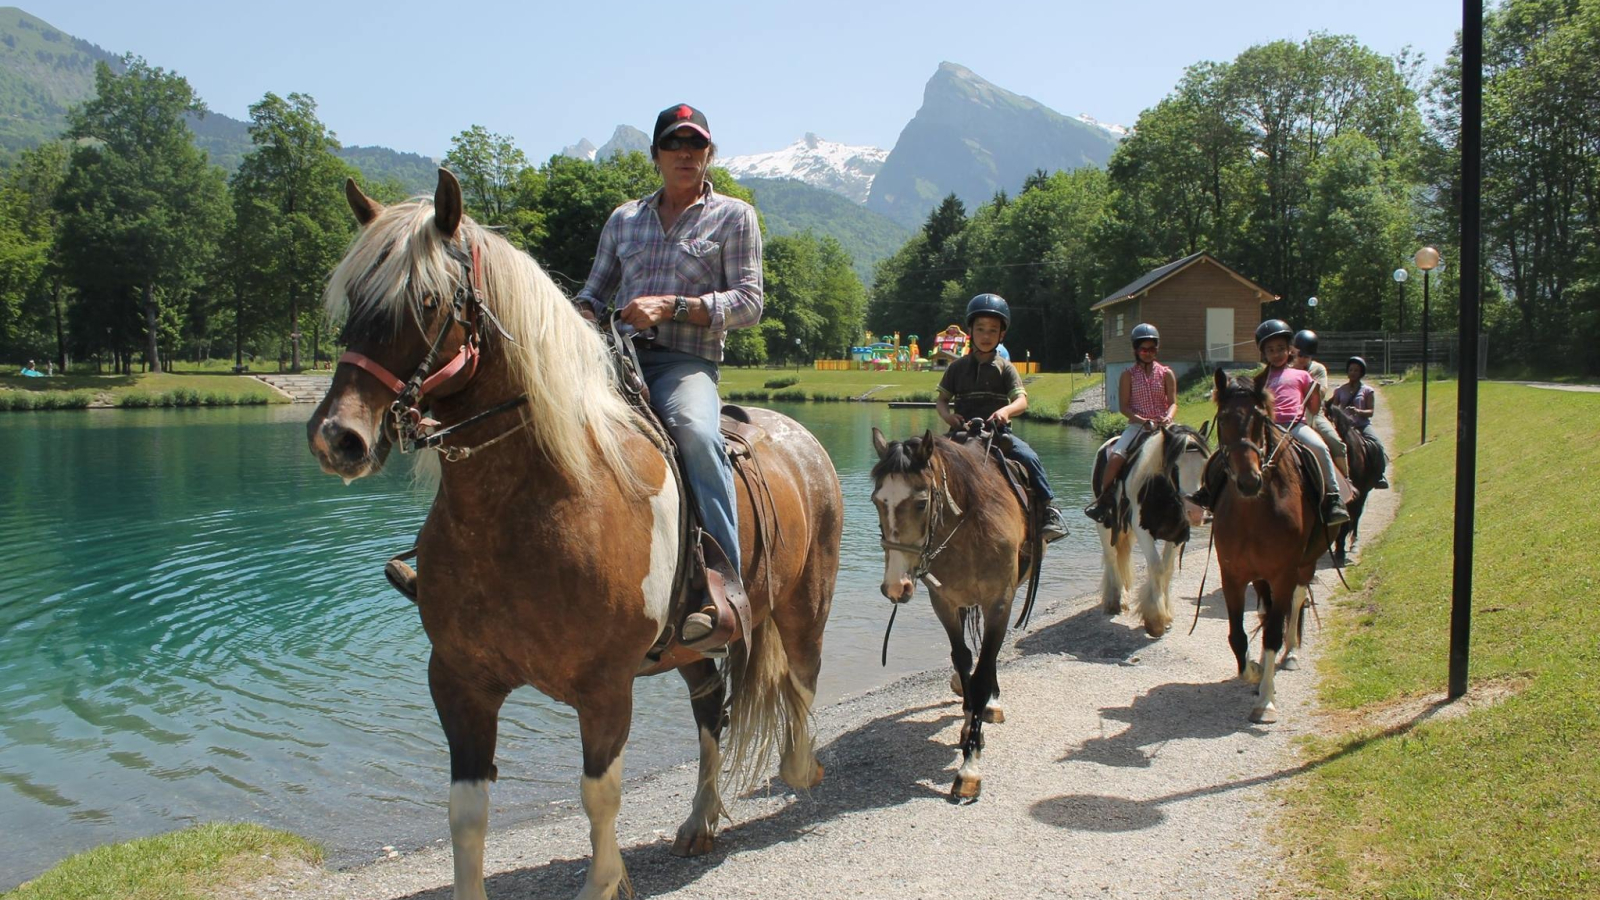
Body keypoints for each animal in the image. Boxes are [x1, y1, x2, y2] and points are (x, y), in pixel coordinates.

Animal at [304, 169, 844, 896]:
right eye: (354, 296)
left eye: (427, 299)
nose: (337, 437)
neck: (533, 503)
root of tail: (801, 442)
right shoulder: (457, 680)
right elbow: (465, 813)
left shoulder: (605, 686)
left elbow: (599, 794)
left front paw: (604, 881)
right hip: (693, 645)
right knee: (710, 710)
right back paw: (700, 820)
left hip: (803, 607)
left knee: (800, 685)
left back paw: (799, 770)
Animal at [870, 425, 1030, 797]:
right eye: (877, 501)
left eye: (921, 502)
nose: (896, 586)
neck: (969, 530)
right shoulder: (944, 602)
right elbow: (963, 658)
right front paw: (970, 725)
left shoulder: (1000, 601)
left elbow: (984, 671)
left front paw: (970, 766)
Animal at [1203, 368, 1331, 723]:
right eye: (1223, 419)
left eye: (1260, 419)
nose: (1249, 481)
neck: (1253, 513)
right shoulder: (1232, 575)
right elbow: (1237, 636)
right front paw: (1254, 671)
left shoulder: (1284, 573)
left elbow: (1274, 630)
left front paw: (1266, 701)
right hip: (1260, 577)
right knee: (1265, 608)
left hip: (1304, 565)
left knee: (1295, 602)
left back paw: (1291, 654)